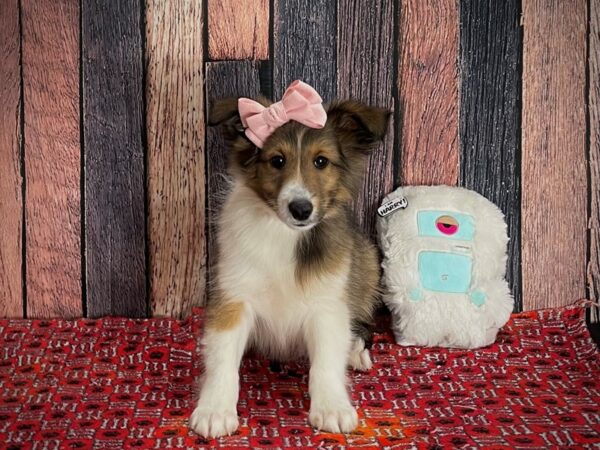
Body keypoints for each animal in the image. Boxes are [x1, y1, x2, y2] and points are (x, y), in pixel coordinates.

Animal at [190, 86, 392, 438]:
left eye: (321, 161)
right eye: (277, 160)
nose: (301, 209)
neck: (283, 233)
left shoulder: (327, 303)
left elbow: (326, 362)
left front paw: (332, 406)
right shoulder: (233, 296)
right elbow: (222, 359)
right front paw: (214, 409)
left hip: (366, 262)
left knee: (364, 325)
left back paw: (356, 351)